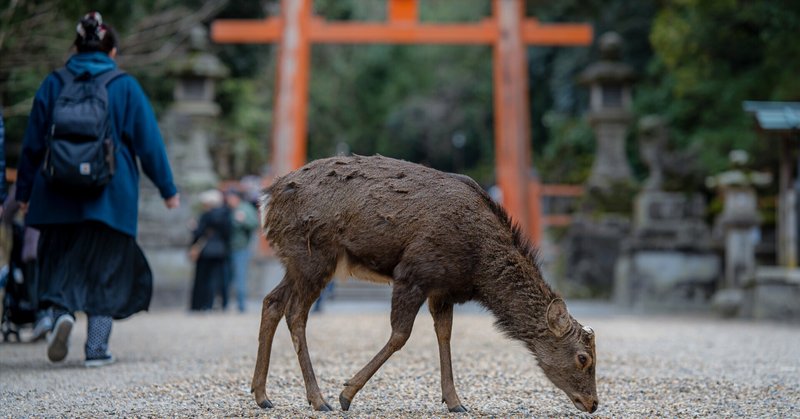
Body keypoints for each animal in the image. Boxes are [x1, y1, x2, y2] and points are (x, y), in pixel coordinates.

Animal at [253, 156, 596, 416]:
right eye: (584, 358)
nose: (593, 403)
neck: (477, 268)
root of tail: (267, 200)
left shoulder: (443, 290)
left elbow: (444, 335)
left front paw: (455, 402)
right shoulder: (413, 272)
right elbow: (400, 335)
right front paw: (346, 394)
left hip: (296, 262)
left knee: (271, 301)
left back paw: (262, 395)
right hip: (314, 257)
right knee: (296, 314)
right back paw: (318, 399)